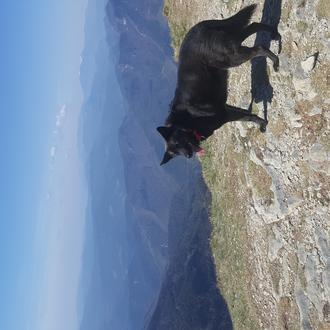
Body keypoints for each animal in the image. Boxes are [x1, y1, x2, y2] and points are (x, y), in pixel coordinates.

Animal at [158, 4, 282, 164]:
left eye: (178, 143)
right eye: (175, 154)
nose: (188, 155)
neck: (187, 122)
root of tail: (199, 27)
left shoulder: (224, 115)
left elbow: (248, 117)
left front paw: (263, 124)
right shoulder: (225, 108)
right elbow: (247, 114)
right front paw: (262, 122)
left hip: (232, 57)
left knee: (259, 48)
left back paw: (275, 61)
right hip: (232, 45)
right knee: (253, 26)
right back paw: (275, 33)